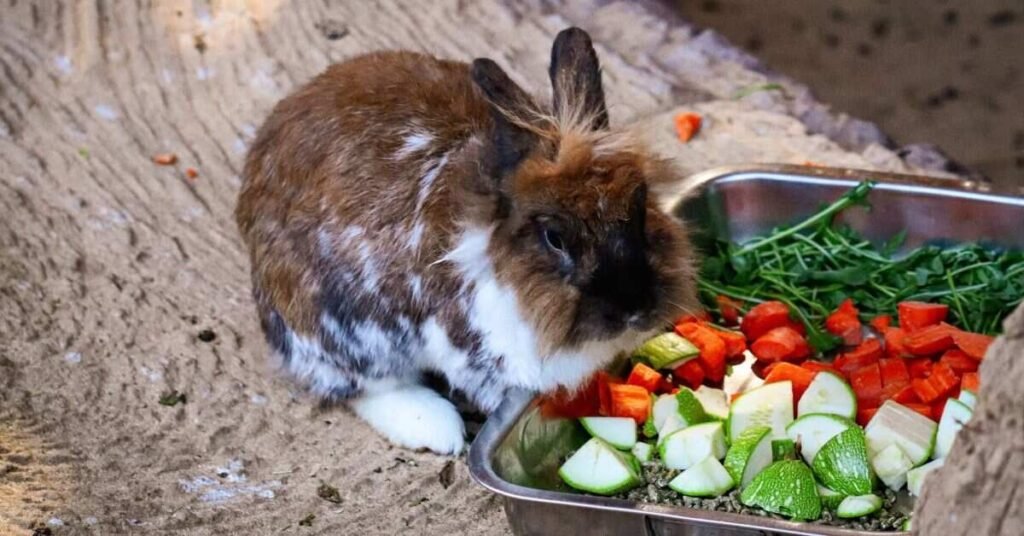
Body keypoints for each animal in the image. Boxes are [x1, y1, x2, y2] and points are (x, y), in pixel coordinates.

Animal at [235, 27, 699, 455]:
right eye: (555, 237)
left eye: (640, 205)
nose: (634, 309)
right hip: (341, 329)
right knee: (361, 386)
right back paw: (437, 429)